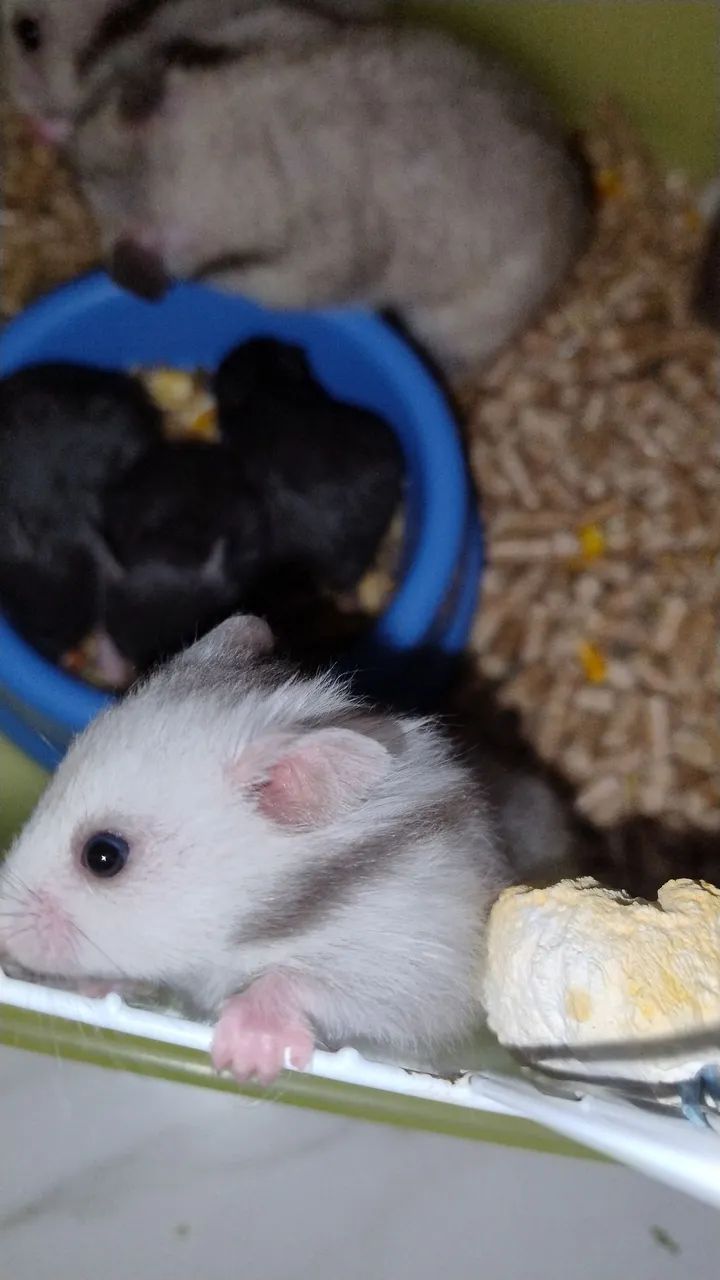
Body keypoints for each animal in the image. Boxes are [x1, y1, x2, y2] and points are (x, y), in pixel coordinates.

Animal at [0, 613, 590, 1082]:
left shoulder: (418, 973)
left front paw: (244, 1059)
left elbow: (300, 981)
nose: (2, 937)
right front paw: (95, 987)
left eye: (104, 856)